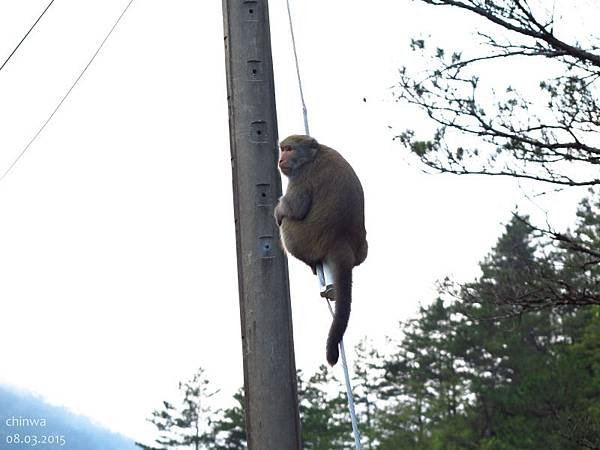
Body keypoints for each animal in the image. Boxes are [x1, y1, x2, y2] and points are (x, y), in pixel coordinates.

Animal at [276, 134, 368, 366]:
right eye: (283, 149)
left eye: (289, 149)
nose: (281, 159)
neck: (314, 154)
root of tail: (341, 241)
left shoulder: (301, 176)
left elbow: (294, 209)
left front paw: (278, 210)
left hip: (304, 239)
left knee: (288, 224)